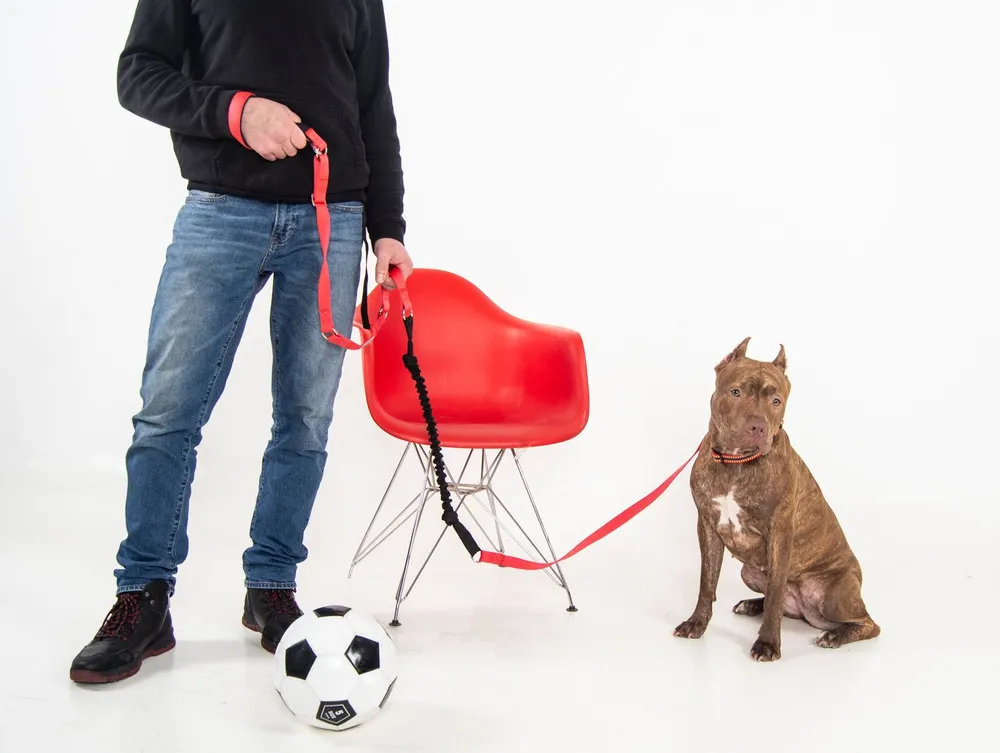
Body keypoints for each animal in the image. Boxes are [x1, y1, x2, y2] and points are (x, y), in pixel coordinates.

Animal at [673, 337, 879, 661]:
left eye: (776, 401)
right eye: (736, 392)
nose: (758, 427)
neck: (736, 463)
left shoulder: (780, 533)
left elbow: (774, 596)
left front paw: (768, 644)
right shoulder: (707, 526)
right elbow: (707, 582)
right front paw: (696, 624)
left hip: (835, 595)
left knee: (868, 623)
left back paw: (834, 635)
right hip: (749, 572)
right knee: (777, 598)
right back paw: (751, 604)